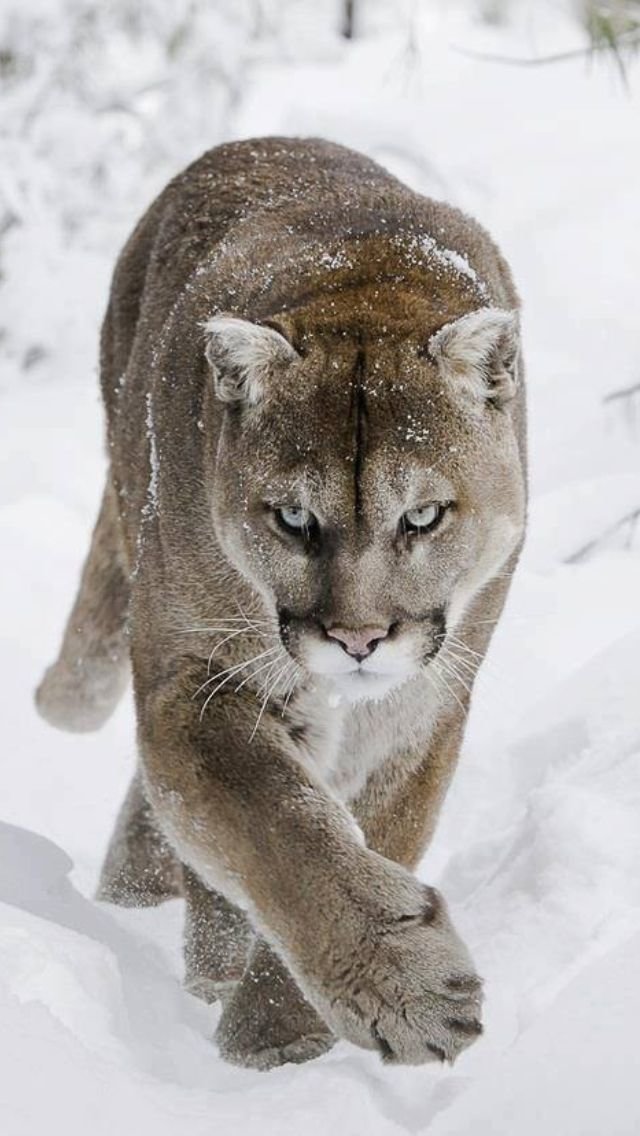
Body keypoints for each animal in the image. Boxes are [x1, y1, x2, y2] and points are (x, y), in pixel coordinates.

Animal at [36, 137, 526, 1069]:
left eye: (424, 516)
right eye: (293, 519)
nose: (358, 638)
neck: (369, 283)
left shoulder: (417, 713)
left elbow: (367, 831)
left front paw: (273, 1042)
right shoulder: (200, 679)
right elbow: (279, 826)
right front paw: (399, 995)